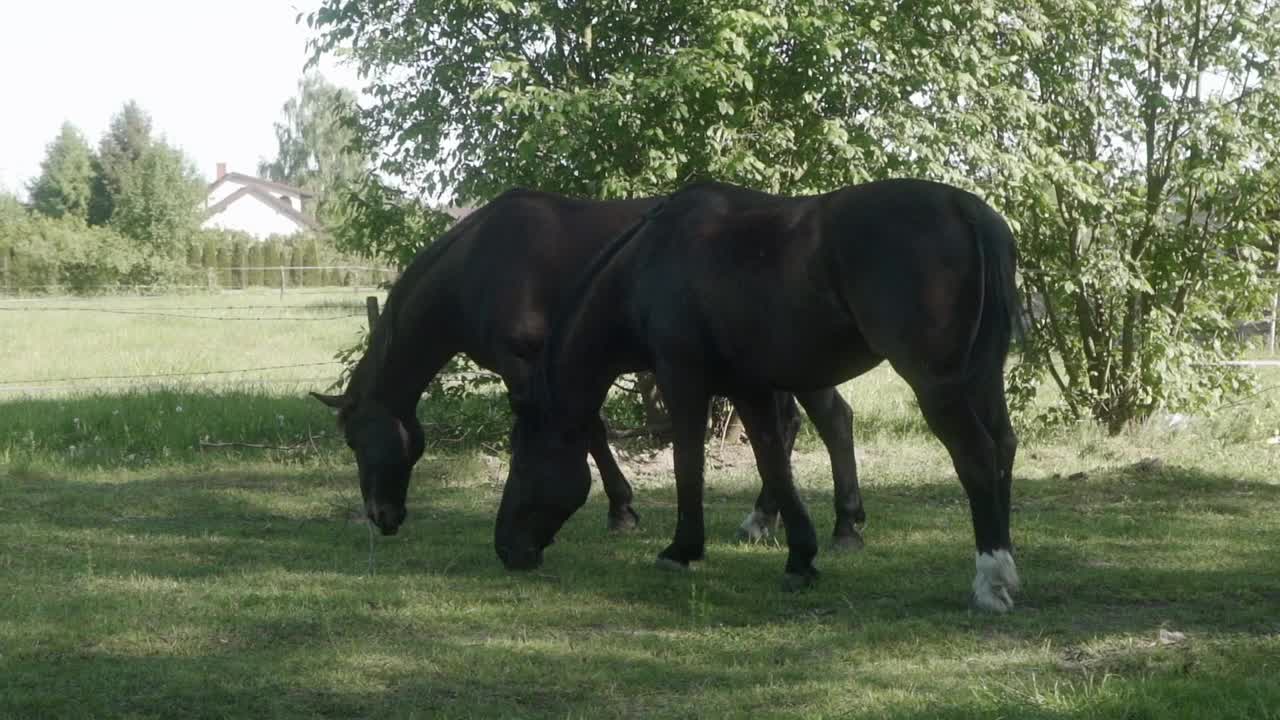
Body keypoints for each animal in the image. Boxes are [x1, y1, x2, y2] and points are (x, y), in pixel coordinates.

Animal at [312, 184, 870, 543]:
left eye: (356, 441)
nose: (380, 516)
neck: (478, 265)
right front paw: (620, 509)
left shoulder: (528, 364)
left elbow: (588, 430)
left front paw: (620, 510)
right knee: (803, 422)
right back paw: (787, 519)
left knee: (822, 420)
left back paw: (815, 522)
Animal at [494, 179, 1024, 609]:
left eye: (524, 460)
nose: (505, 549)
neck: (650, 262)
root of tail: (967, 210)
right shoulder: (747, 387)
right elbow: (773, 463)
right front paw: (800, 558)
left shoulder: (683, 380)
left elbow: (690, 463)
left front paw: (682, 549)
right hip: (980, 377)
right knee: (1002, 447)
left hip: (936, 385)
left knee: (976, 456)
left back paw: (991, 580)